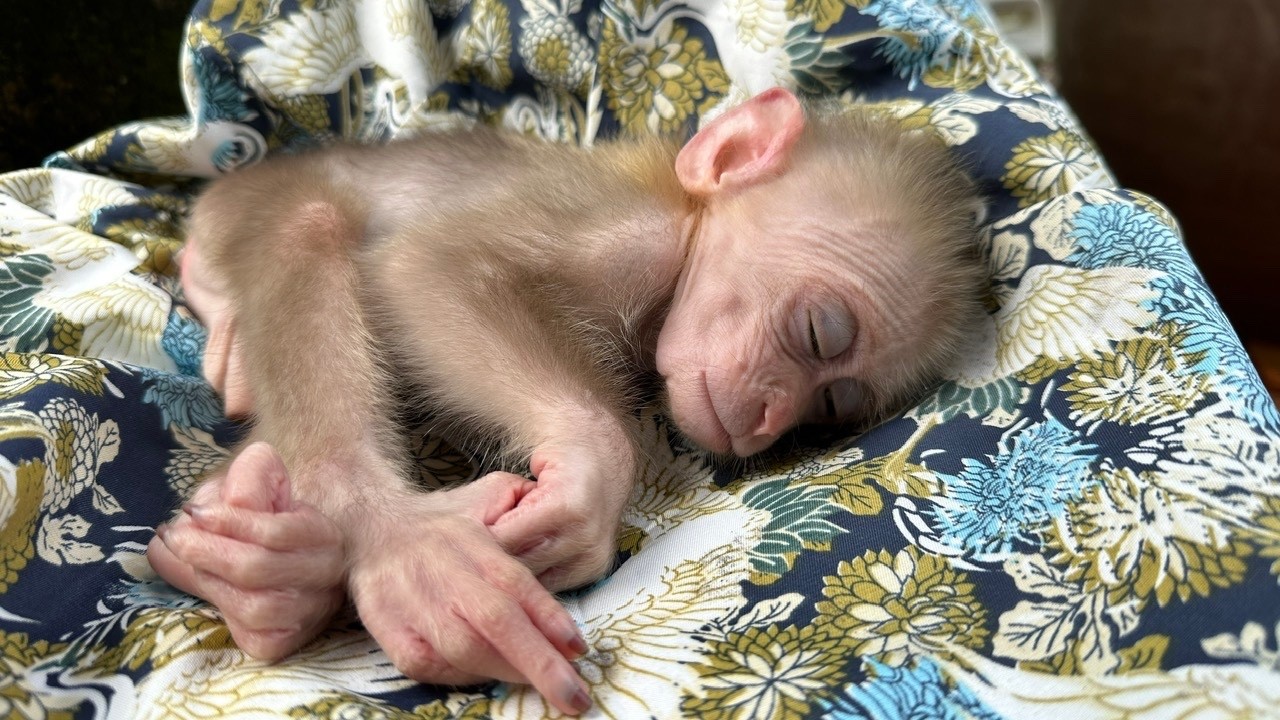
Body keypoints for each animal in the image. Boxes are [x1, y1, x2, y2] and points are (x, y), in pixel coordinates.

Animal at [145, 87, 985, 715]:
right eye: (819, 333)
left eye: (832, 403)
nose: (770, 420)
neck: (684, 226)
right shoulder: (622, 231)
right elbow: (428, 265)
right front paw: (585, 468)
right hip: (252, 204)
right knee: (308, 225)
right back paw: (382, 537)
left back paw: (267, 581)